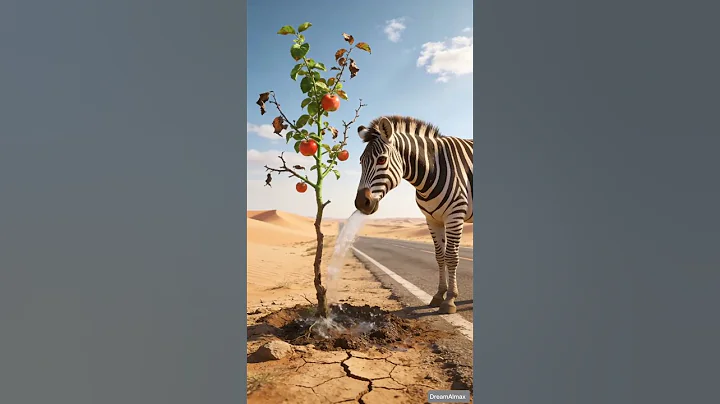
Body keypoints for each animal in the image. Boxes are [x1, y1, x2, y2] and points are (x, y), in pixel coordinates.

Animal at [354, 115, 473, 314]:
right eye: (361, 161)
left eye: (381, 160)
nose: (361, 203)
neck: (432, 170)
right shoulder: (432, 219)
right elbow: (439, 257)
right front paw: (438, 295)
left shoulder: (454, 216)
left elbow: (451, 257)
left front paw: (449, 300)